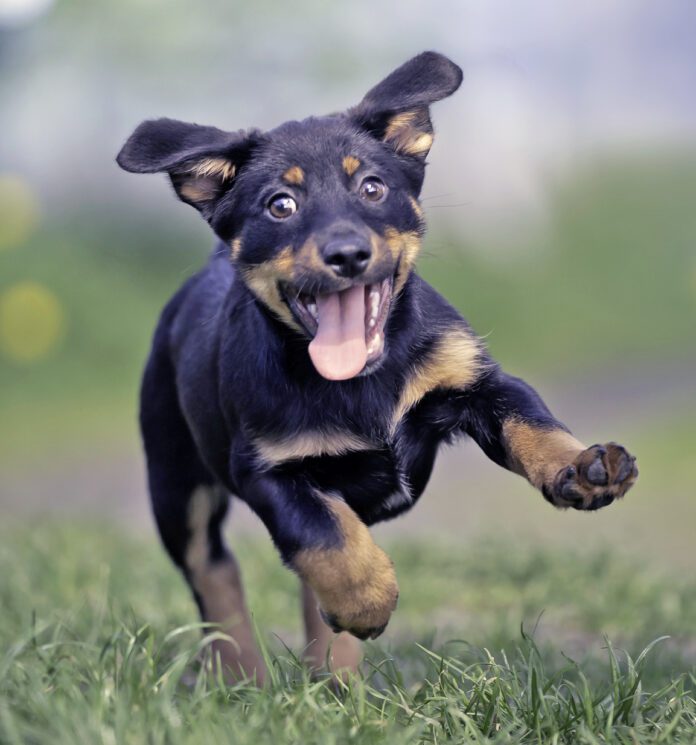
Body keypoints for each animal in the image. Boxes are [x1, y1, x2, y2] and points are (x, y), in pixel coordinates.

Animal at [117, 50, 640, 680]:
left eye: (372, 187)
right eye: (280, 205)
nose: (347, 254)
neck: (361, 380)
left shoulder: (480, 383)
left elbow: (533, 424)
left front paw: (583, 467)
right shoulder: (267, 468)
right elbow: (323, 536)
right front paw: (368, 601)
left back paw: (335, 679)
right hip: (175, 480)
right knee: (214, 572)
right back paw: (243, 671)